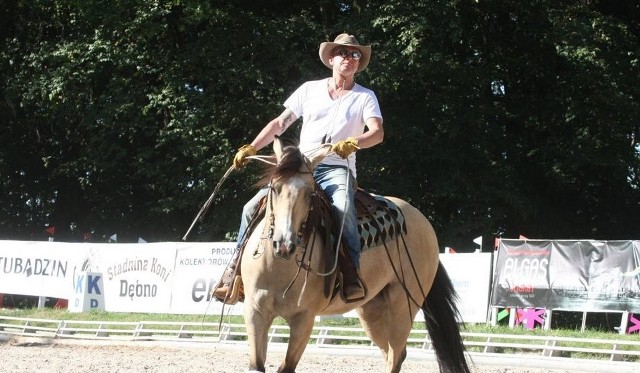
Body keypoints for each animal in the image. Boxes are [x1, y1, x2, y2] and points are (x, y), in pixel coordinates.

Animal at [240, 137, 470, 372]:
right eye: (274, 188)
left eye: (310, 193)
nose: (284, 244)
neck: (278, 269)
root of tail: (424, 222)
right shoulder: (255, 313)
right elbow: (256, 365)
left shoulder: (304, 319)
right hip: (372, 310)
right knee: (390, 352)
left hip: (403, 306)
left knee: (395, 354)